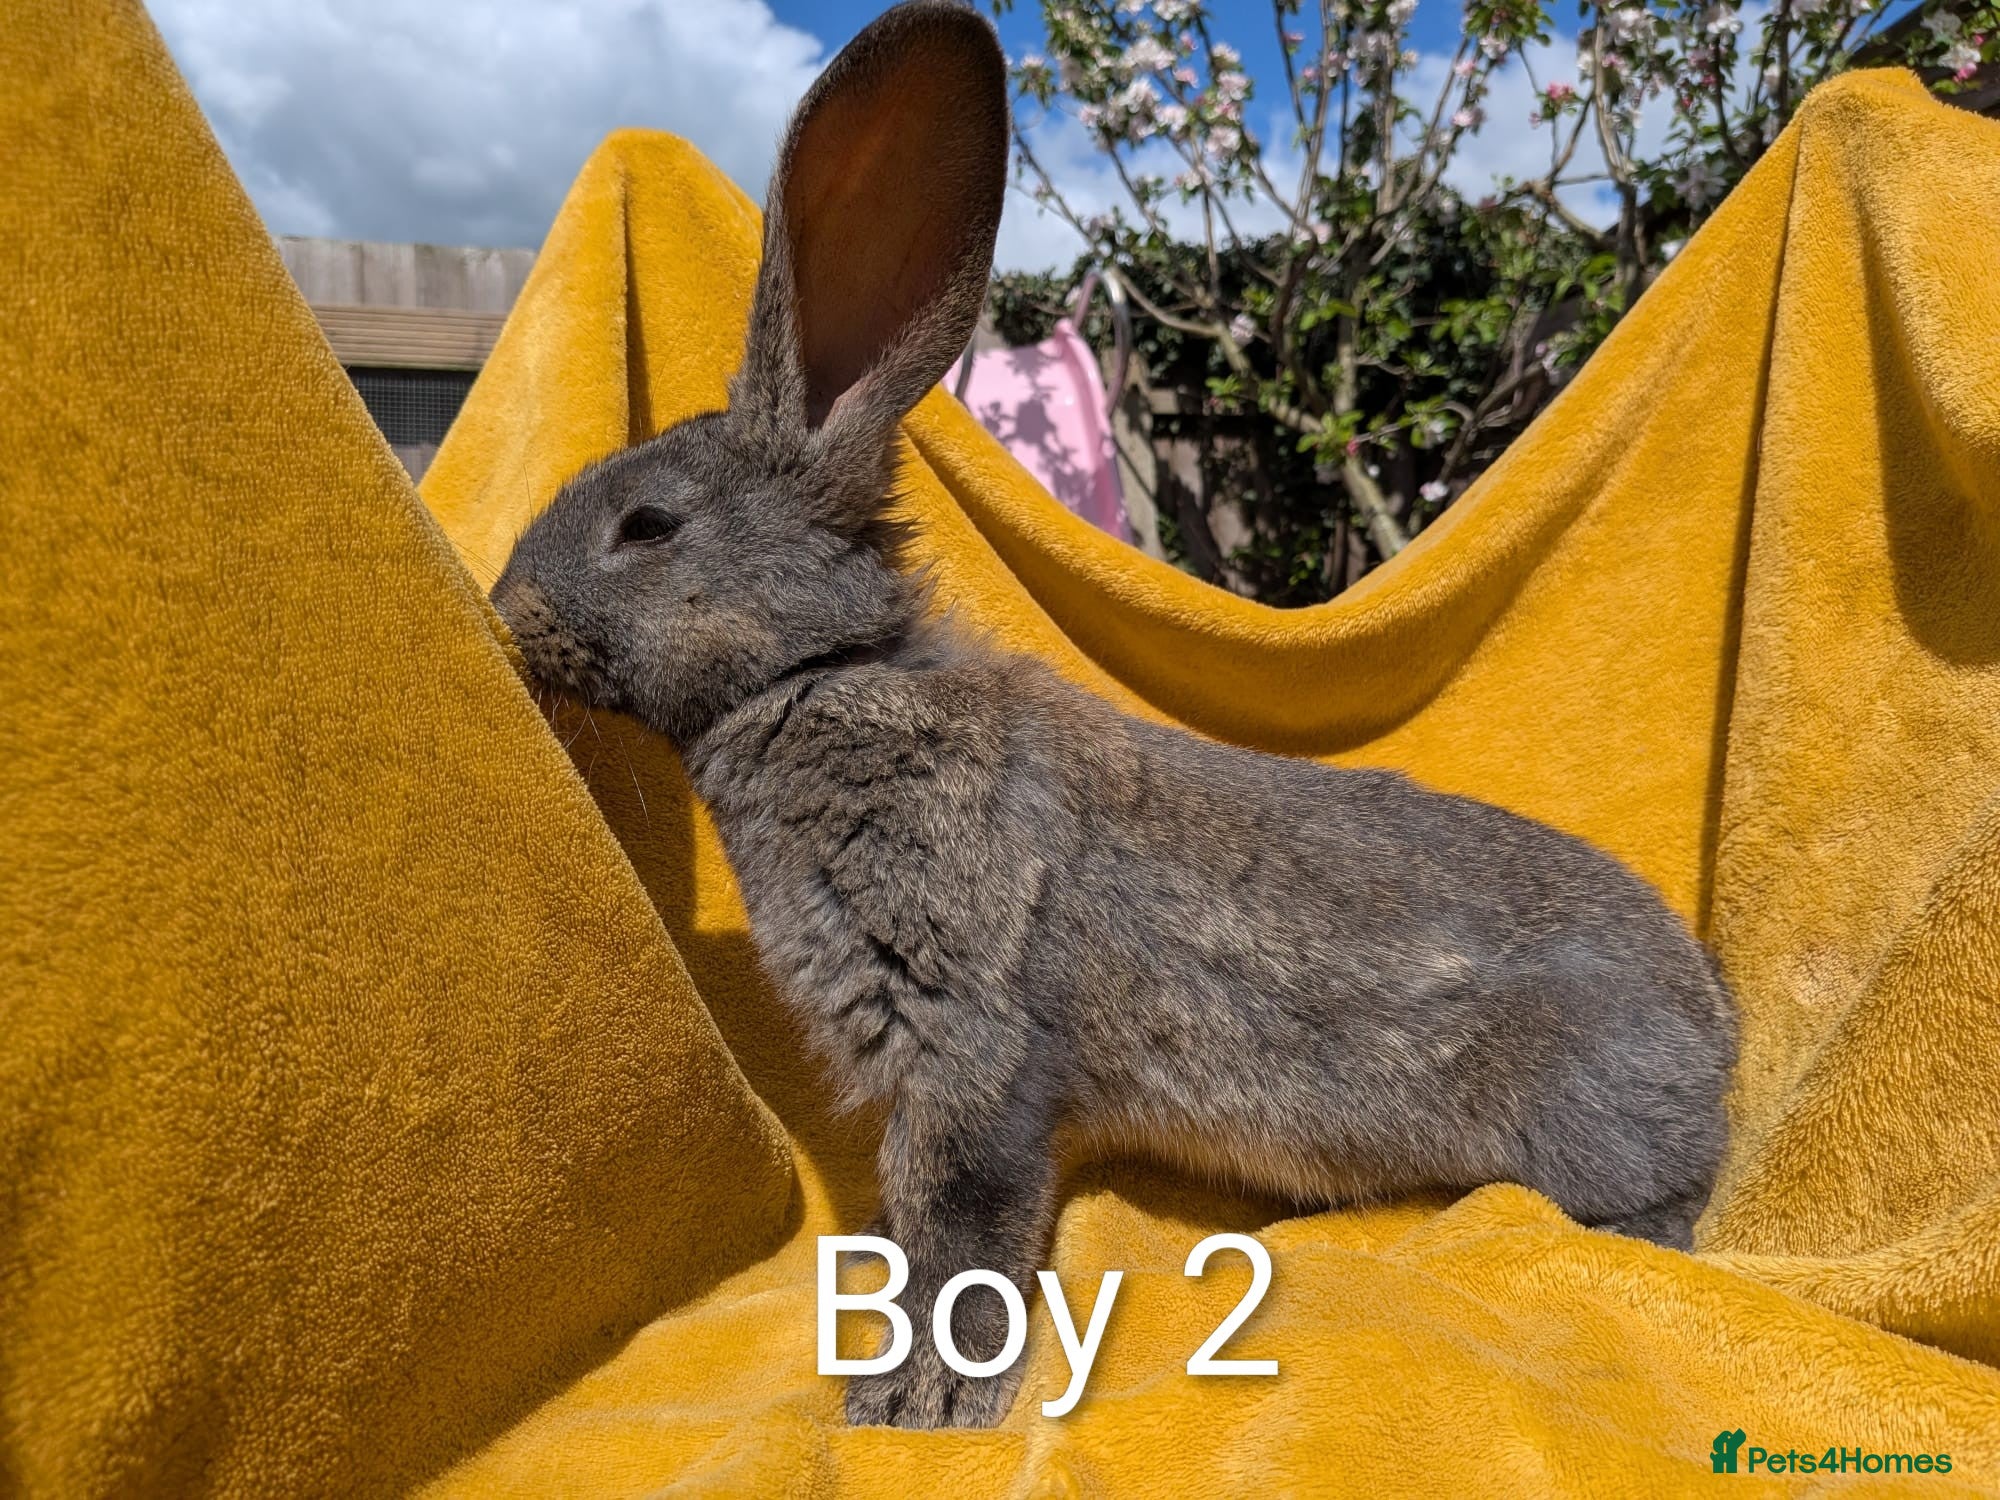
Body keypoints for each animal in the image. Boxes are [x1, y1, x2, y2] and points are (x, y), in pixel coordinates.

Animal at [491, 0, 1737, 1432]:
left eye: (646, 526)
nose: (505, 607)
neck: (821, 672)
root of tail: (1716, 1042)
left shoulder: (967, 1042)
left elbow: (958, 1227)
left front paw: (913, 1403)